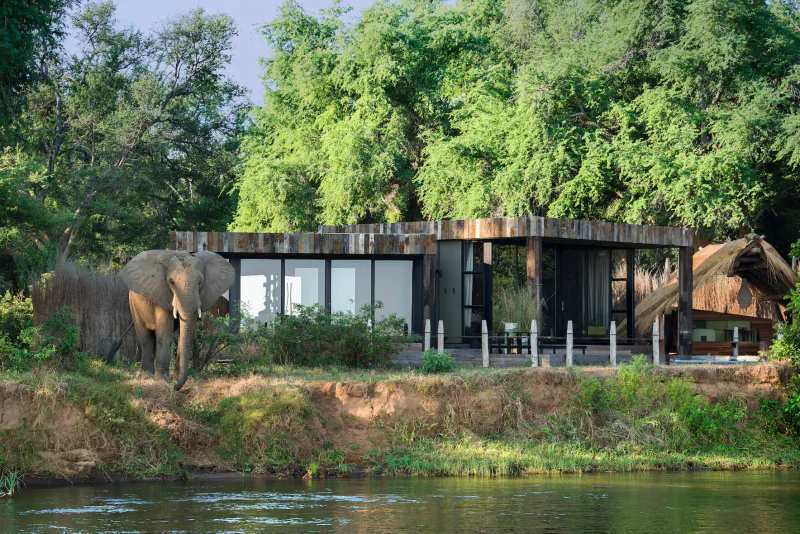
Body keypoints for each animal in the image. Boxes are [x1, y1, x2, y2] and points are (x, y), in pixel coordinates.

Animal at [107, 250, 235, 390]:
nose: (175, 387)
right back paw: (146, 376)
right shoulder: (161, 292)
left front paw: (174, 378)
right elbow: (165, 330)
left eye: (200, 282)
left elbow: (185, 332)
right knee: (146, 338)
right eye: (171, 282)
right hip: (133, 303)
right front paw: (162, 381)